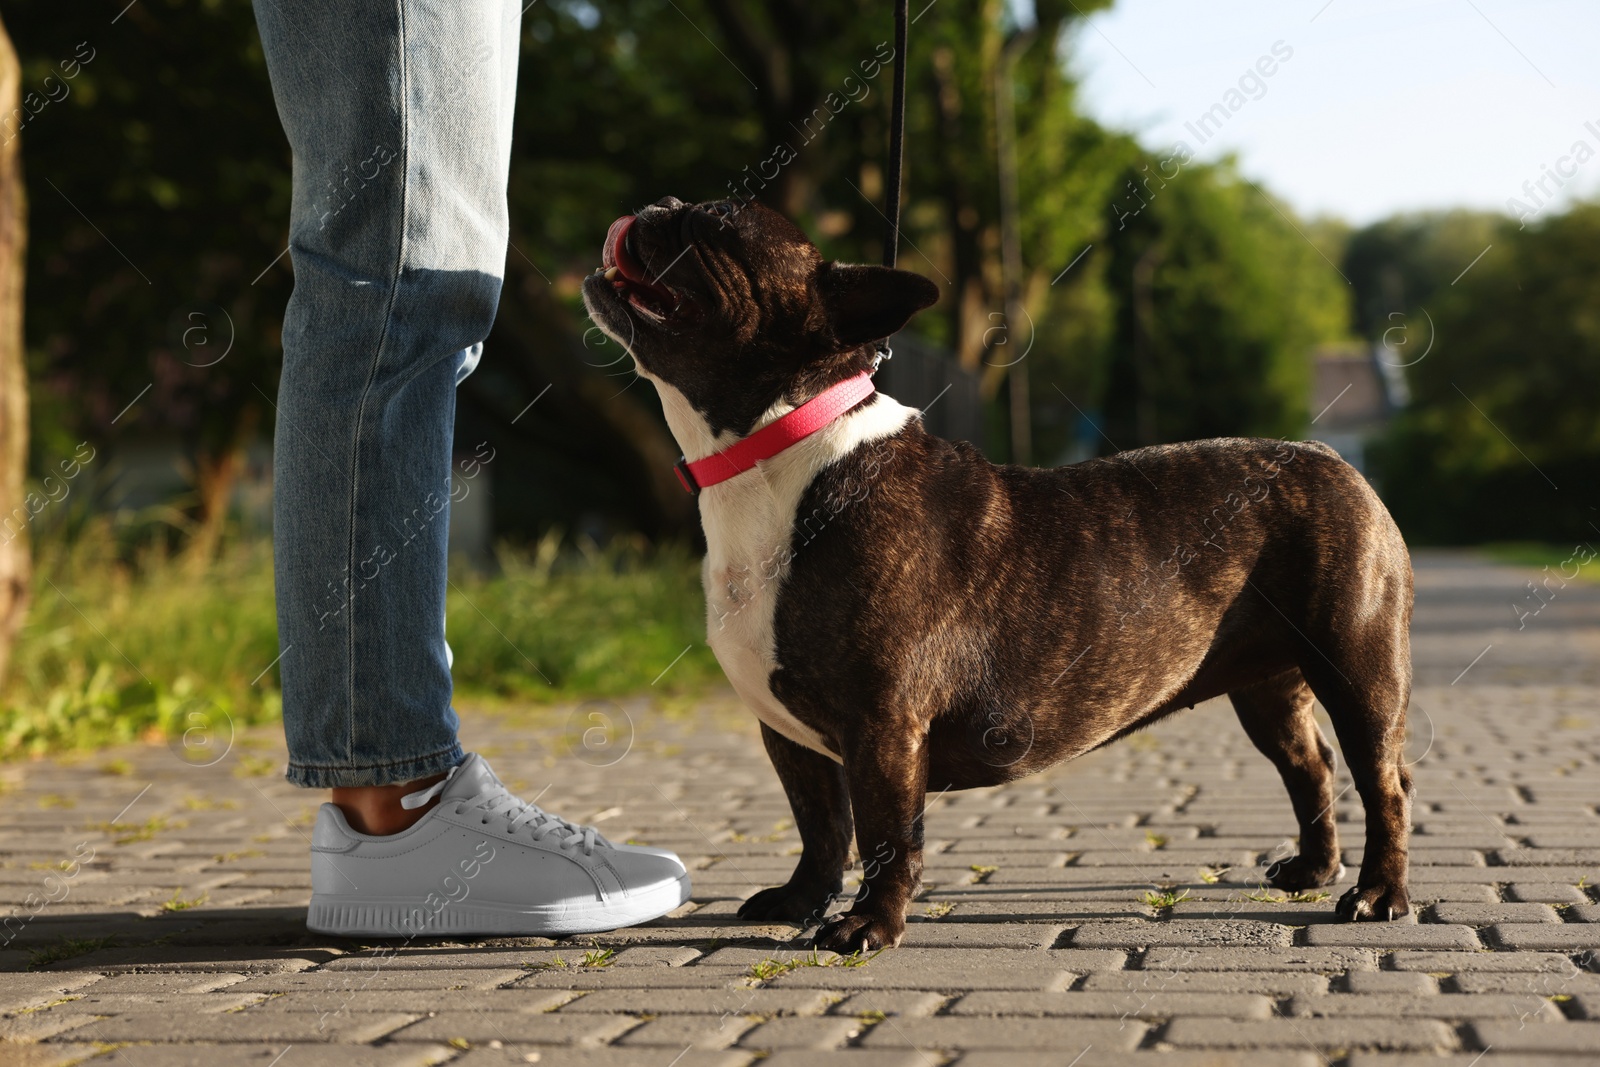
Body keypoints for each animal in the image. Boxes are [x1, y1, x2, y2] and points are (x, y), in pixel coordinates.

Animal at [585, 191, 1414, 953]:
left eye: (716, 225)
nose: (661, 201)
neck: (776, 451)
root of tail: (1336, 461)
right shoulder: (789, 732)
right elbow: (818, 823)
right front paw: (799, 900)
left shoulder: (884, 723)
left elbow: (885, 832)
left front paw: (868, 924)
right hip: (1267, 685)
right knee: (1308, 764)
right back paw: (1314, 868)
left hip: (1357, 668)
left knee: (1382, 778)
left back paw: (1379, 893)